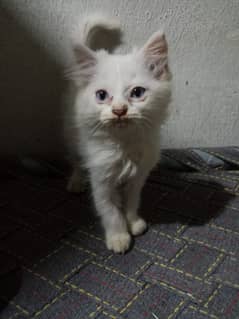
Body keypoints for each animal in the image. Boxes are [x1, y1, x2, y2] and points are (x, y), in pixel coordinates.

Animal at [66, 15, 172, 255]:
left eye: (137, 92)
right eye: (102, 95)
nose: (119, 110)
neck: (124, 146)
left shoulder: (138, 176)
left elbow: (131, 202)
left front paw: (133, 223)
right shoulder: (101, 179)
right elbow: (110, 211)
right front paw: (118, 237)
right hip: (74, 136)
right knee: (76, 160)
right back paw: (76, 182)